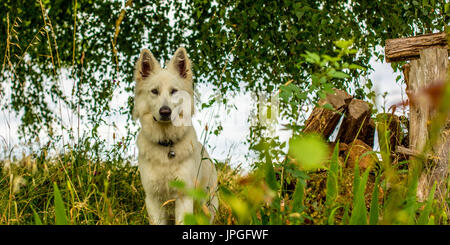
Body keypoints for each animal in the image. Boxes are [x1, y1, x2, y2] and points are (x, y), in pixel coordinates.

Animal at [134, 47, 218, 225]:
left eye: (174, 91)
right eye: (154, 91)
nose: (165, 112)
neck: (167, 143)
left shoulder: (184, 197)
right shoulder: (153, 199)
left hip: (206, 207)